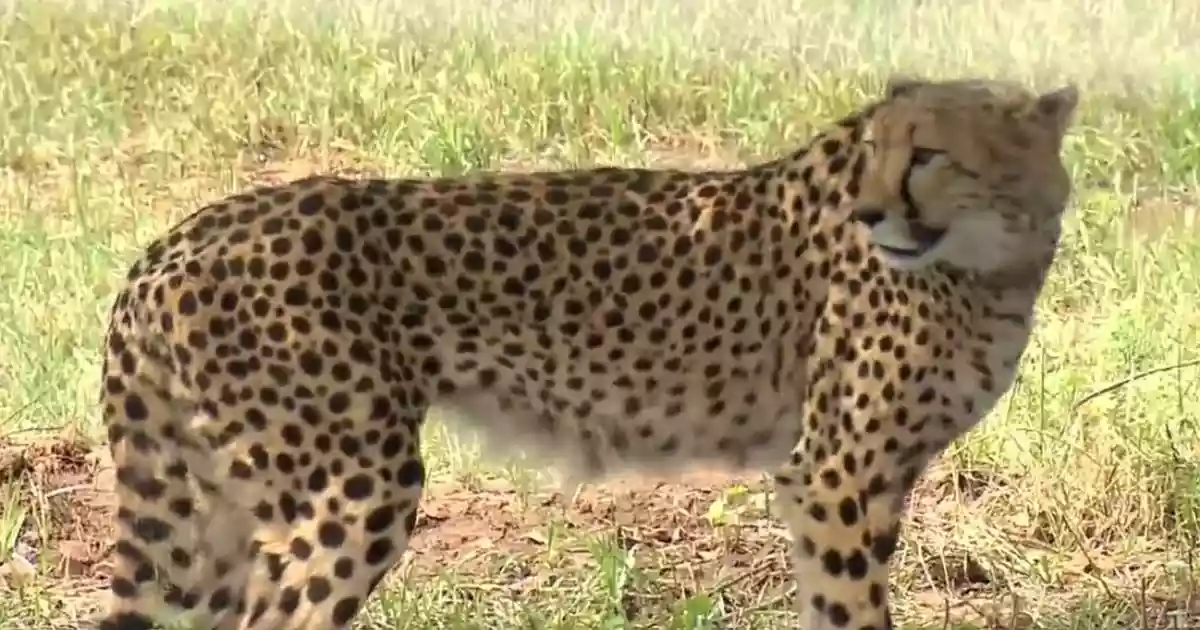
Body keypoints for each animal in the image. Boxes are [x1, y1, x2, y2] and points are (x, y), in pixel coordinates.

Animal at [96, 75, 1079, 630]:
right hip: (350, 490)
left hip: (220, 517)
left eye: (929, 154)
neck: (993, 259)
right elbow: (851, 609)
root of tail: (173, 241)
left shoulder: (873, 481)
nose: (873, 214)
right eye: (876, 152)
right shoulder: (834, 475)